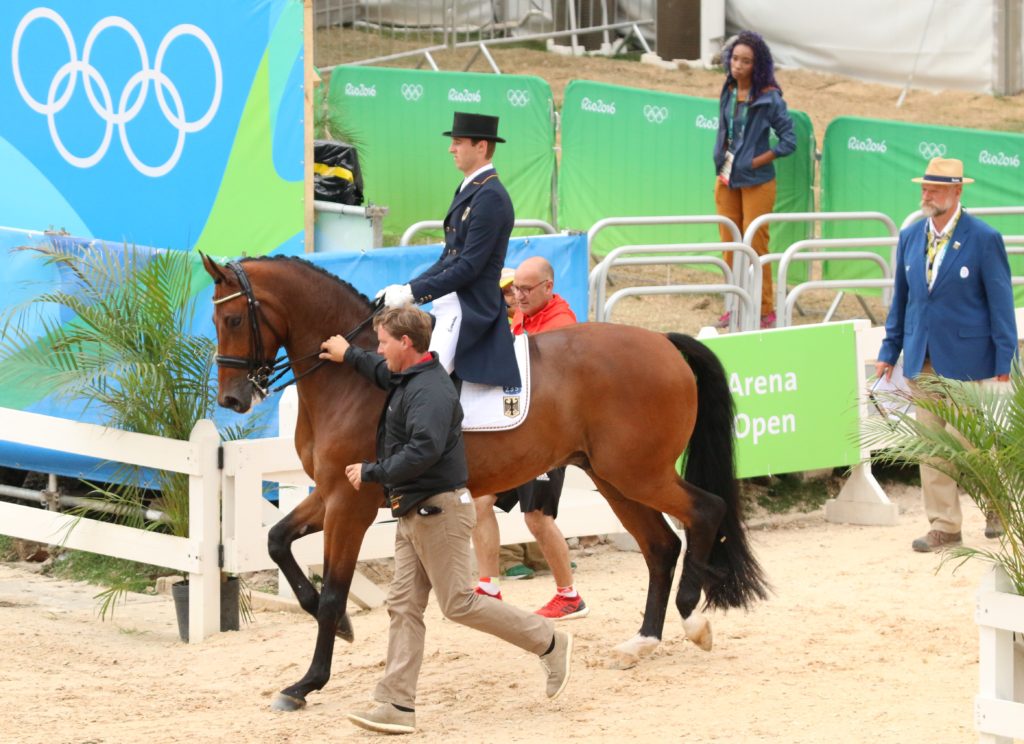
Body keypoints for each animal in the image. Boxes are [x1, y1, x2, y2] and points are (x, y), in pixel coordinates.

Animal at [199, 254, 765, 708]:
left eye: (233, 318)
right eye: (215, 319)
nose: (232, 400)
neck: (356, 376)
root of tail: (663, 342)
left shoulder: (350, 501)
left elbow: (335, 589)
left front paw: (307, 681)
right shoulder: (331, 493)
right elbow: (277, 540)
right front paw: (339, 627)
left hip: (638, 472)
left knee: (705, 511)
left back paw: (692, 619)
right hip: (613, 477)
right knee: (661, 546)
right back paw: (642, 642)